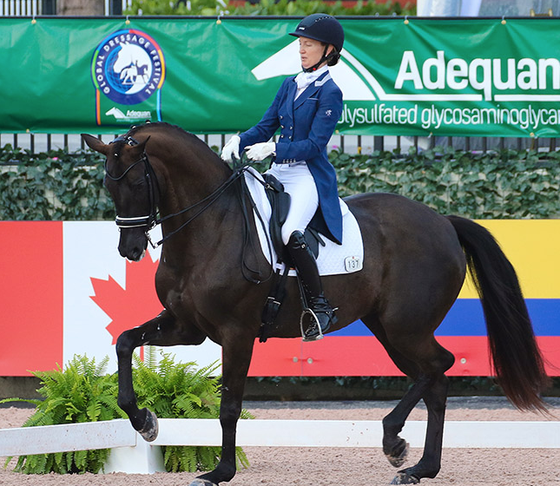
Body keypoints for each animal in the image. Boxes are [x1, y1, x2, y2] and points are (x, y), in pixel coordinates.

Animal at [82, 124, 548, 486]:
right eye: (107, 185)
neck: (211, 227)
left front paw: (220, 472)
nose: (130, 249)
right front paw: (144, 421)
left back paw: (394, 441)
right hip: (390, 330)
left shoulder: (236, 334)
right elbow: (125, 341)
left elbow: (230, 405)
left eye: (137, 183)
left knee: (439, 366)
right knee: (433, 379)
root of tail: (443, 222)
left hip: (405, 327)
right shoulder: (186, 327)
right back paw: (419, 467)